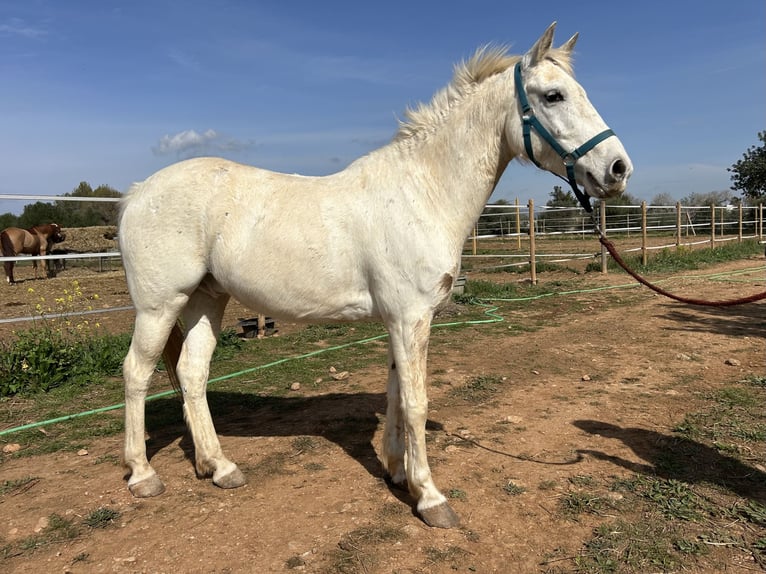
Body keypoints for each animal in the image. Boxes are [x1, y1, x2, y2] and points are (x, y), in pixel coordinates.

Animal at [120, 23, 632, 532]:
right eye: (553, 96)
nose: (618, 168)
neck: (422, 193)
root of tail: (138, 191)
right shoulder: (410, 318)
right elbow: (416, 402)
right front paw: (429, 497)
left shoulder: (399, 320)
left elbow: (395, 394)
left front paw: (397, 472)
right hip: (159, 305)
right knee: (137, 373)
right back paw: (143, 475)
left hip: (207, 299)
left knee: (191, 373)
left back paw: (219, 467)